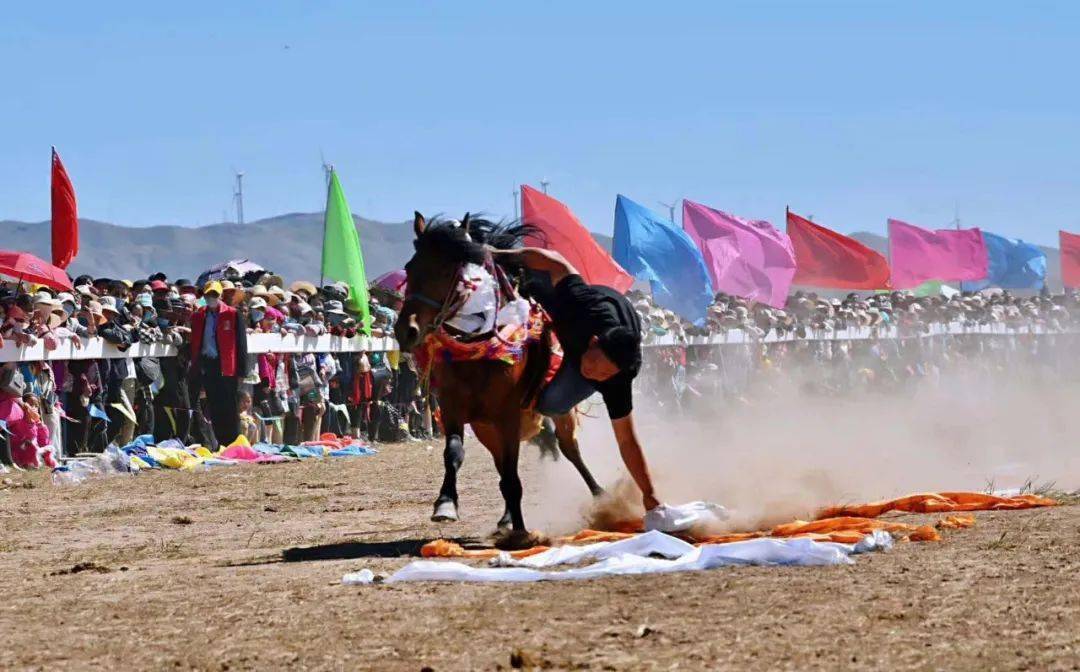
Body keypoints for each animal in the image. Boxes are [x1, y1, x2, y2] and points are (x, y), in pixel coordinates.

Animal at [395, 212, 604, 550]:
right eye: (410, 267)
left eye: (447, 271)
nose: (407, 330)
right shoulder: (454, 411)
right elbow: (454, 454)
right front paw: (445, 504)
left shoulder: (508, 418)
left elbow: (514, 478)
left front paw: (522, 532)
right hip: (486, 429)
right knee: (502, 468)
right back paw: (505, 519)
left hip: (560, 414)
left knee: (569, 450)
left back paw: (600, 495)